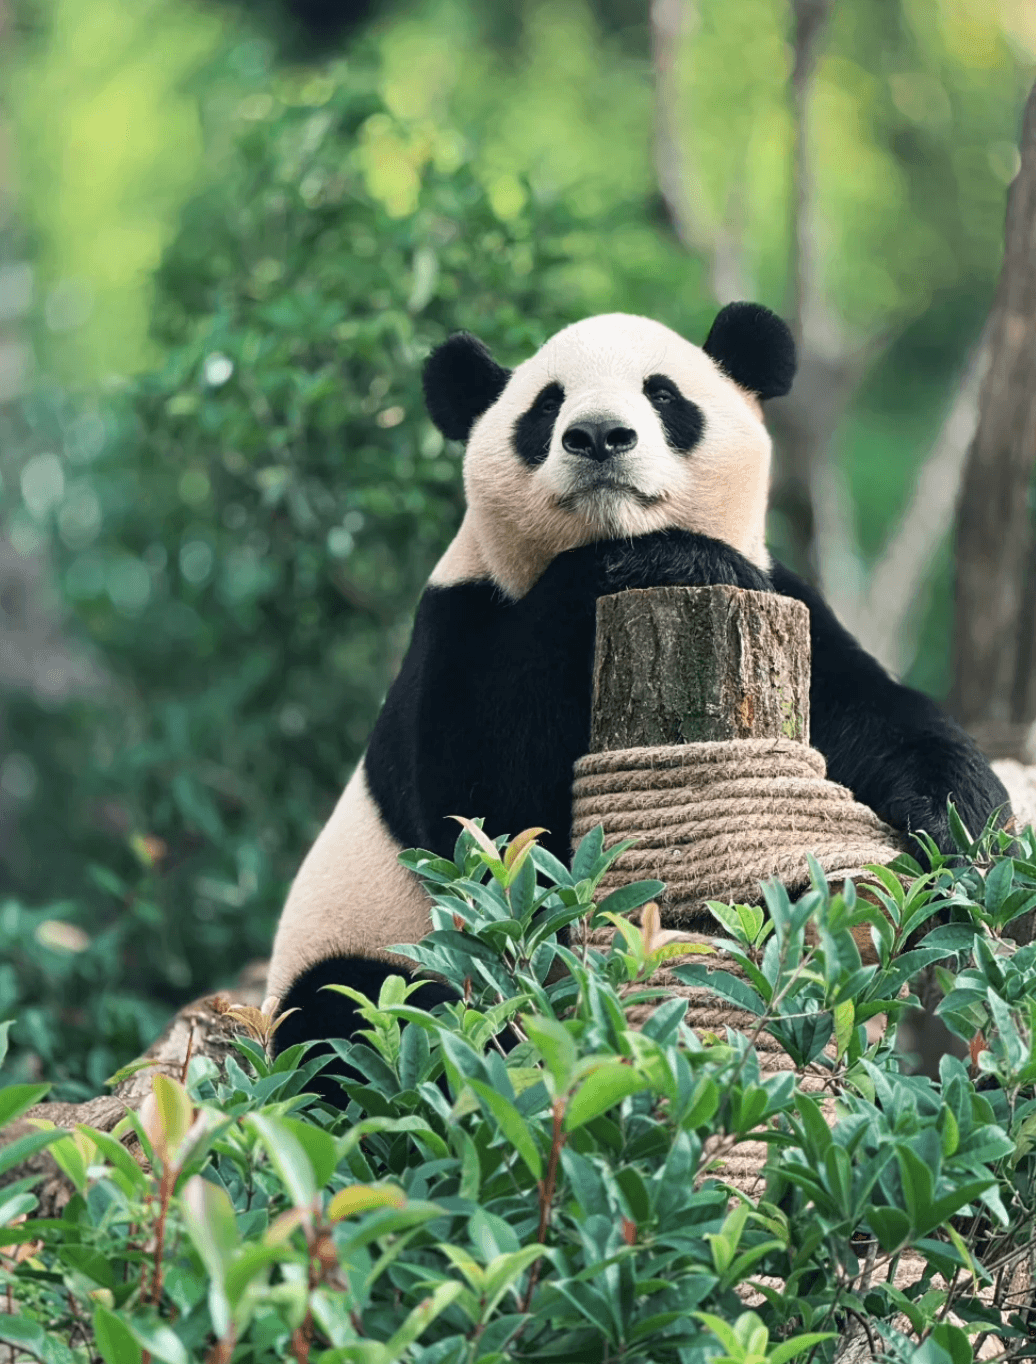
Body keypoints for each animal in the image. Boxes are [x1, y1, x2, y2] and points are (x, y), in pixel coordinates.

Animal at [266, 302, 1010, 1071]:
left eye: (662, 394)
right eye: (546, 405)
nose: (599, 436)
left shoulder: (791, 610)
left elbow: (880, 719)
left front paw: (959, 827)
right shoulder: (461, 620)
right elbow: (485, 822)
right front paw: (671, 558)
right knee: (354, 1009)